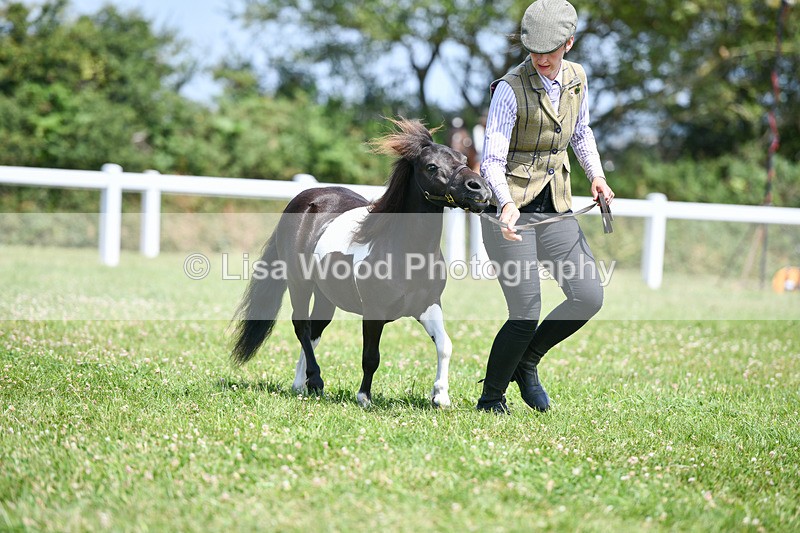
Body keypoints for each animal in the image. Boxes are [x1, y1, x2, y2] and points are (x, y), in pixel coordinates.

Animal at [231, 118, 491, 408]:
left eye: (463, 159)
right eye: (431, 166)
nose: (480, 189)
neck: (406, 252)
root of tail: (304, 199)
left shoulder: (428, 306)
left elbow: (445, 345)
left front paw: (440, 397)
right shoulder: (374, 313)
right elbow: (371, 357)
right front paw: (364, 397)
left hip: (326, 296)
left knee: (314, 332)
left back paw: (301, 385)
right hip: (300, 284)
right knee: (302, 326)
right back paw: (315, 380)